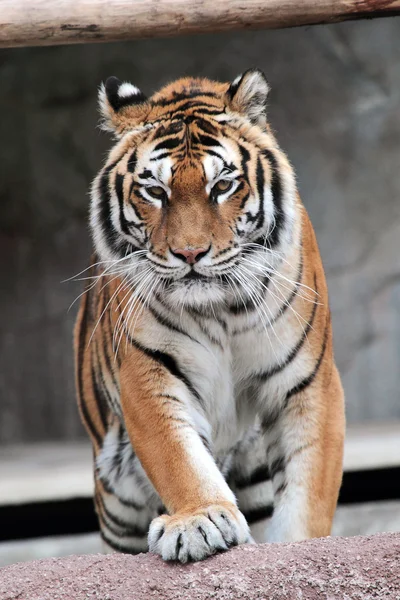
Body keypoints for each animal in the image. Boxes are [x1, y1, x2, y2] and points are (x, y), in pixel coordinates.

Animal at [74, 69, 344, 564]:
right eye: (155, 191)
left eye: (221, 186)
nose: (190, 253)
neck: (221, 309)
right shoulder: (148, 373)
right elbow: (177, 457)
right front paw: (199, 521)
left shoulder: (308, 382)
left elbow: (308, 489)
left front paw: (300, 548)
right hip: (117, 500)